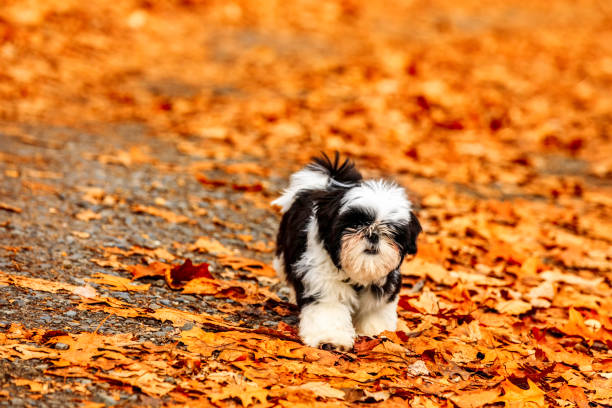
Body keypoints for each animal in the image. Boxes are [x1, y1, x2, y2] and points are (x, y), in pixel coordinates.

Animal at [272, 151, 420, 350]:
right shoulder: (322, 282)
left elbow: (376, 310)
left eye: (392, 230)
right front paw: (330, 339)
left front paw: (376, 331)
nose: (373, 234)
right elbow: (328, 310)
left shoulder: (385, 286)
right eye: (355, 224)